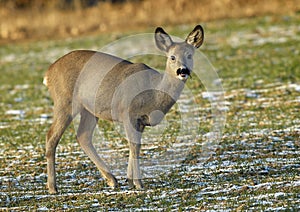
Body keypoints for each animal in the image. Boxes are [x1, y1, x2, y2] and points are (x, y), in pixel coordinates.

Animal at [44, 24, 204, 194]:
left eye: (189, 55)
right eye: (172, 57)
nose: (183, 71)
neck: (153, 93)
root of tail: (49, 72)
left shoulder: (140, 122)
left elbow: (135, 146)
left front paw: (130, 181)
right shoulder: (128, 113)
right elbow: (134, 145)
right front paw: (139, 183)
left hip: (90, 109)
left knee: (83, 136)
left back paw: (112, 179)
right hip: (65, 102)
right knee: (51, 136)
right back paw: (53, 187)